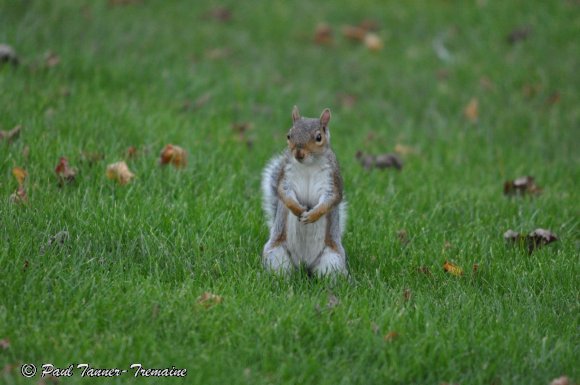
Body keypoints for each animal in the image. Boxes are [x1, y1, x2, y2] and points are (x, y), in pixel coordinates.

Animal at [260, 105, 346, 276]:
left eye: (319, 137)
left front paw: (312, 215)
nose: (298, 153)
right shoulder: (286, 177)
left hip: (332, 260)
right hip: (276, 255)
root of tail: (304, 264)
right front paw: (298, 209)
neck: (308, 165)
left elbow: (331, 200)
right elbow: (284, 194)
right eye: (289, 135)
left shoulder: (332, 181)